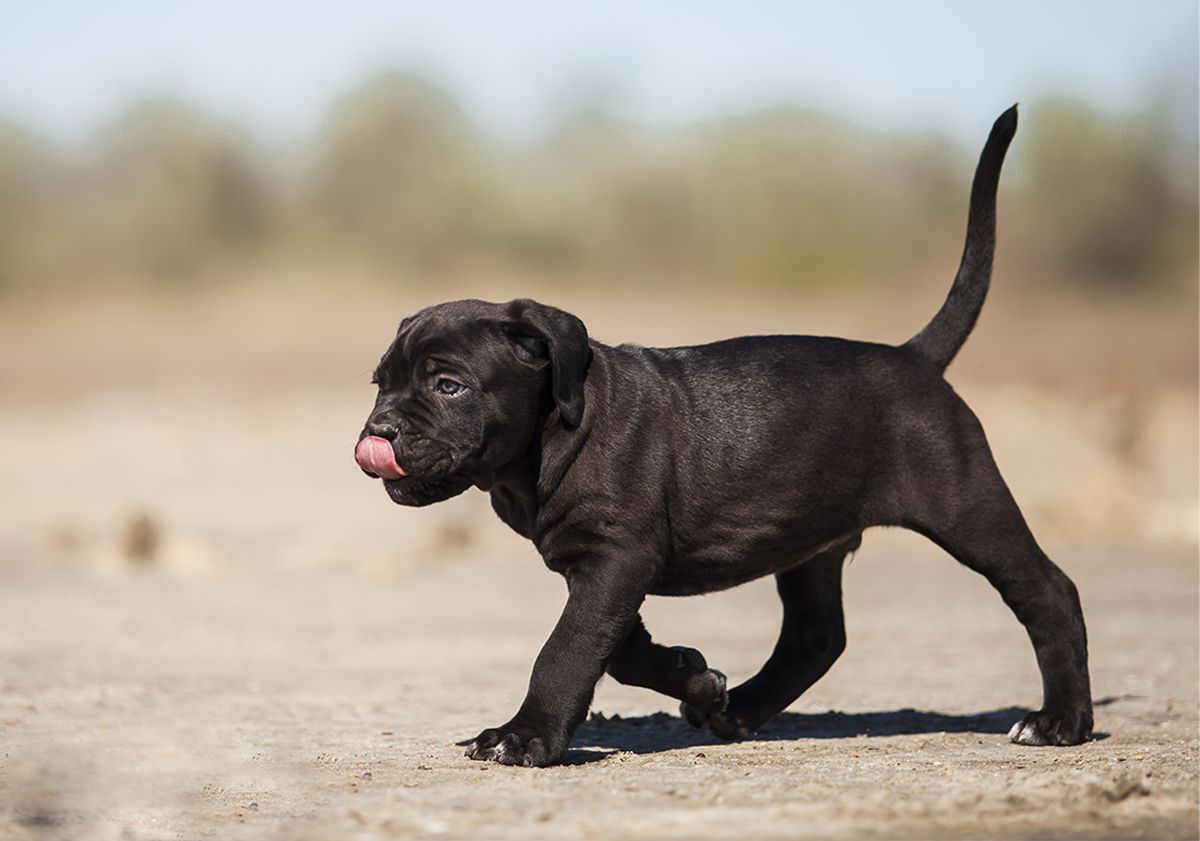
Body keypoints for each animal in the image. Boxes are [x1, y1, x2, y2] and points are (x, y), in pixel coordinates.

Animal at [355, 107, 1099, 772]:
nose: (378, 432)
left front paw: (524, 736)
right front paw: (697, 677)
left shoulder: (615, 558)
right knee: (816, 636)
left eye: (448, 385)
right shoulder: (605, 565)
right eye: (380, 383)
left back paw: (1059, 722)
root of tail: (915, 357)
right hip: (813, 539)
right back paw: (736, 709)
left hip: (966, 503)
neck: (549, 439)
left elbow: (567, 649)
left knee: (1048, 589)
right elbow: (616, 647)